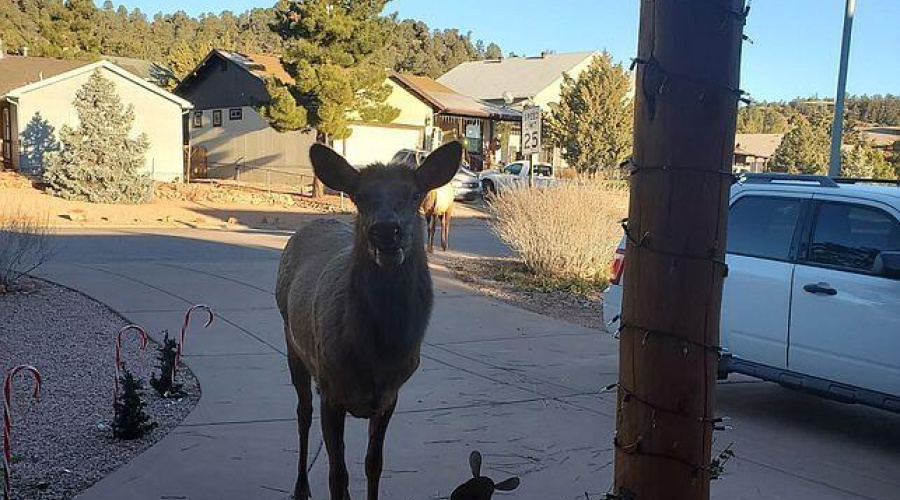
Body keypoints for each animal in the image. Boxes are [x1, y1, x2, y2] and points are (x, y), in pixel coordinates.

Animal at [276, 141, 460, 500]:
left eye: (416, 194)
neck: (375, 353)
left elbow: (373, 464)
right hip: (292, 342)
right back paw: (301, 487)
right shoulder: (330, 389)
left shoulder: (389, 395)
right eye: (359, 196)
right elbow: (337, 476)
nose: (386, 231)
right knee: (302, 414)